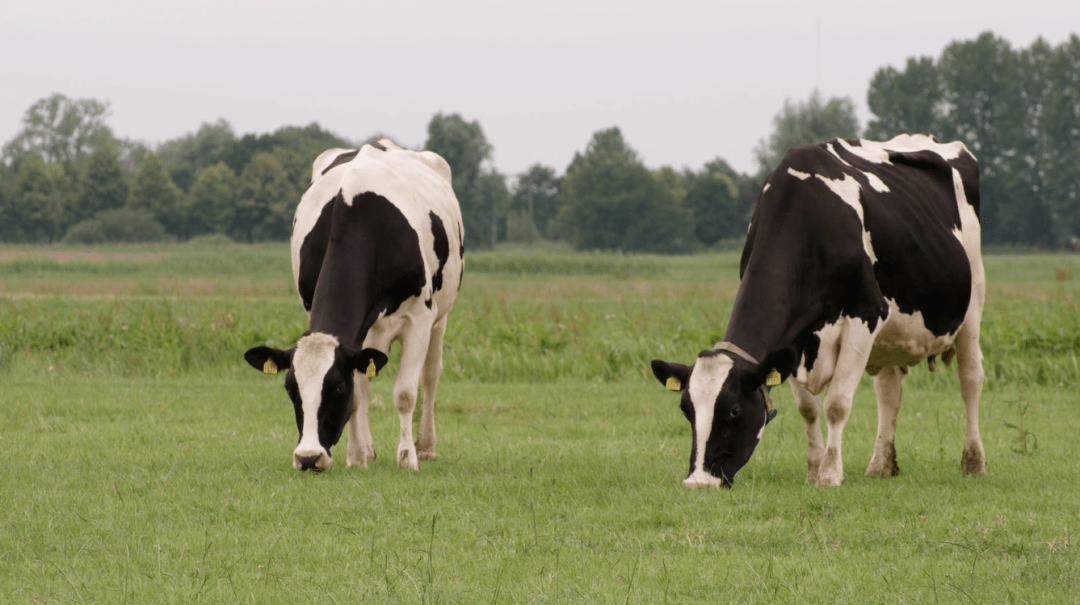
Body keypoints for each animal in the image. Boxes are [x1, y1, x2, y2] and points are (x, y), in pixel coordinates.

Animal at [245, 138, 464, 473]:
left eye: (336, 388)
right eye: (290, 389)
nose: (308, 457)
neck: (360, 222)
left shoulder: (419, 317)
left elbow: (405, 392)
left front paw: (407, 458)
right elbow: (360, 393)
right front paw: (357, 455)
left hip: (441, 317)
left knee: (430, 374)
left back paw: (426, 446)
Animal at [648, 134, 989, 488]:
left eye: (733, 411)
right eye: (686, 410)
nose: (698, 482)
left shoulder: (866, 315)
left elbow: (837, 403)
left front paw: (829, 474)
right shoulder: (792, 340)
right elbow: (807, 408)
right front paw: (813, 470)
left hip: (973, 302)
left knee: (970, 379)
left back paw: (973, 462)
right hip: (892, 336)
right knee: (889, 393)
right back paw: (880, 465)